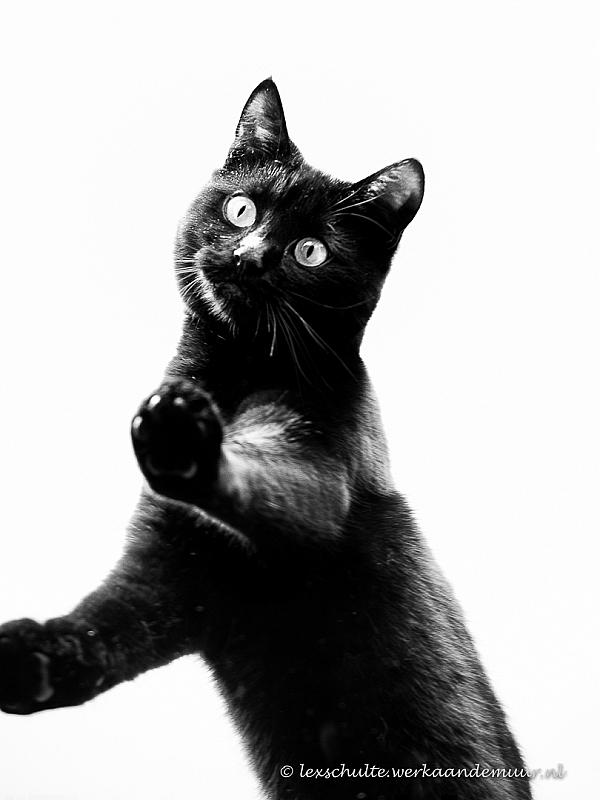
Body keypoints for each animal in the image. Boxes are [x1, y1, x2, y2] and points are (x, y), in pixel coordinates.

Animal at [0, 79, 531, 800]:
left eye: (310, 250)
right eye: (241, 208)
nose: (248, 257)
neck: (232, 373)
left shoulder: (318, 472)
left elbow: (271, 485)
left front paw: (183, 437)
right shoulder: (170, 572)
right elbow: (103, 629)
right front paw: (30, 660)